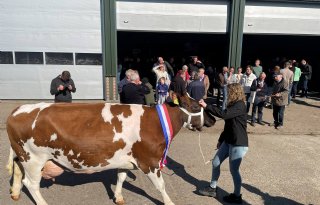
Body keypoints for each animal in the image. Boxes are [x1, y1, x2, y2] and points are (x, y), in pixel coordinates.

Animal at [6, 94, 215, 205]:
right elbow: (161, 186)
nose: (212, 120)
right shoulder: (149, 161)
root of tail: (17, 109)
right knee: (31, 183)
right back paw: (42, 202)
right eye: (195, 105)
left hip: (22, 155)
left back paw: (15, 193)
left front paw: (118, 197)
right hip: (34, 159)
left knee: (17, 170)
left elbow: (121, 177)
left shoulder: (125, 158)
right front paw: (169, 202)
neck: (155, 122)